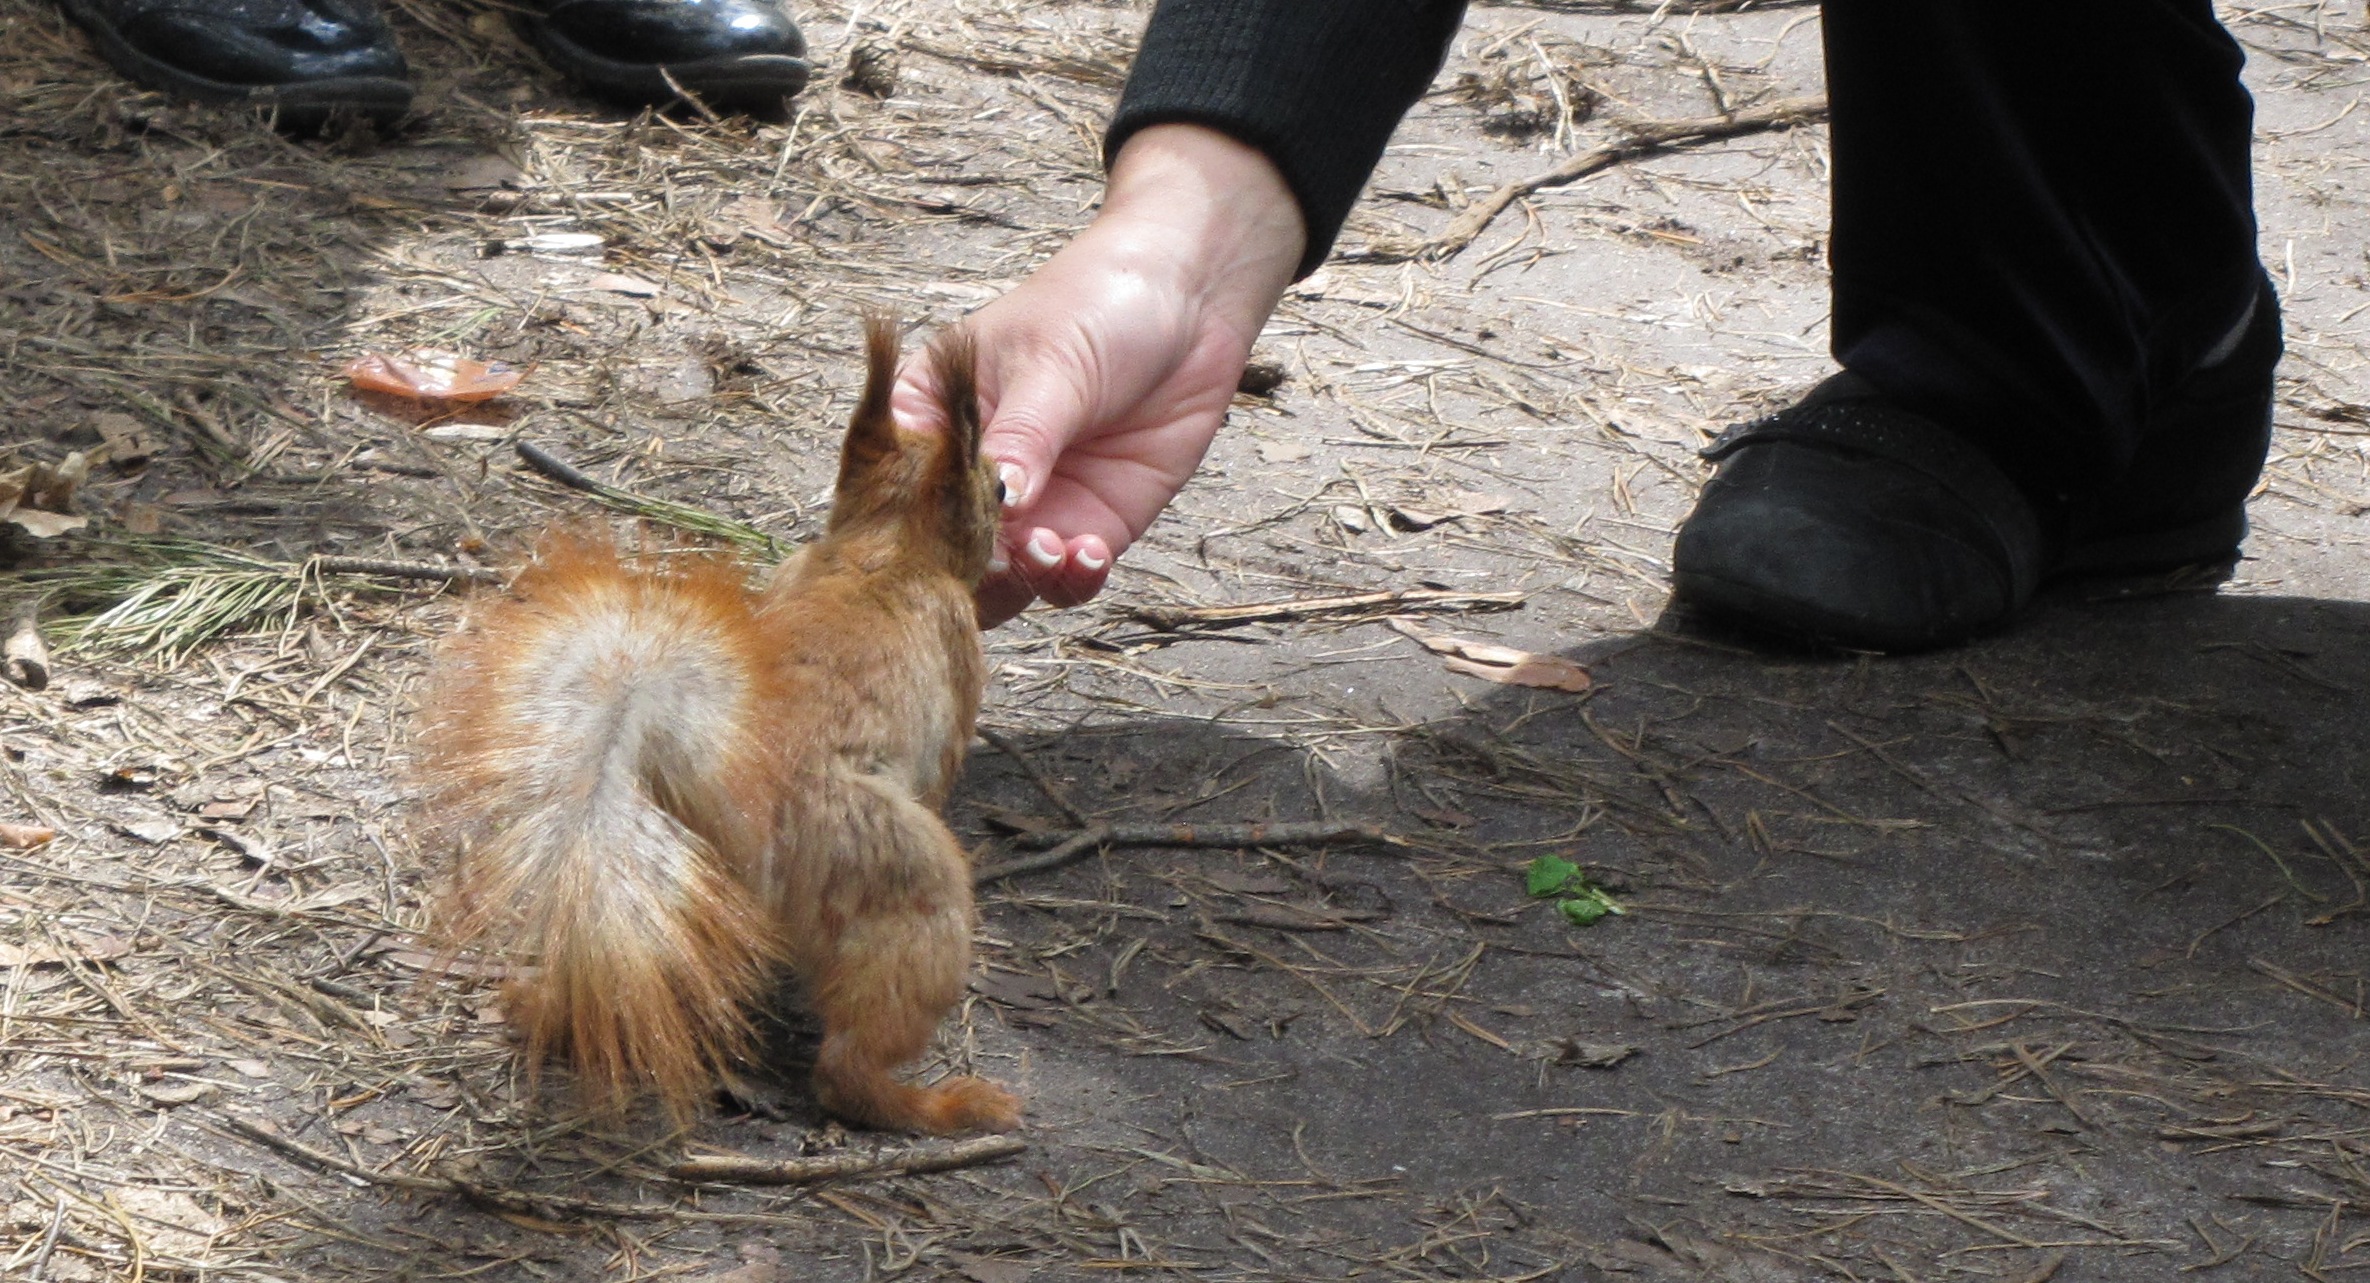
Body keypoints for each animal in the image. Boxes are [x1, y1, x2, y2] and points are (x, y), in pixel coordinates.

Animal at [414, 315, 1021, 1135]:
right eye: (998, 486)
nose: (1011, 492)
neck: (883, 548)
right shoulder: (958, 657)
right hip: (906, 883)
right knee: (847, 1072)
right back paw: (943, 1103)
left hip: (662, 892)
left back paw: (544, 1006)